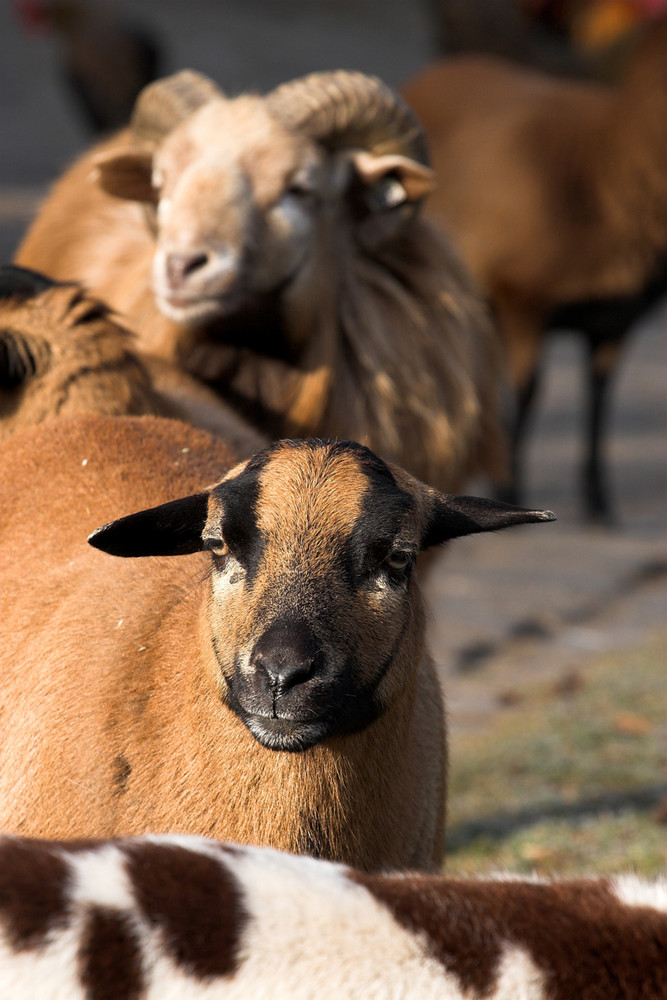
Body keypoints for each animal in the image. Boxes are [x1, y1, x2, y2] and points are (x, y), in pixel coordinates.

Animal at [402, 15, 667, 524]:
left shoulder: (615, 318)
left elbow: (599, 398)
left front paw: (598, 502)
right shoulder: (522, 298)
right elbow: (528, 392)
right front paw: (509, 487)